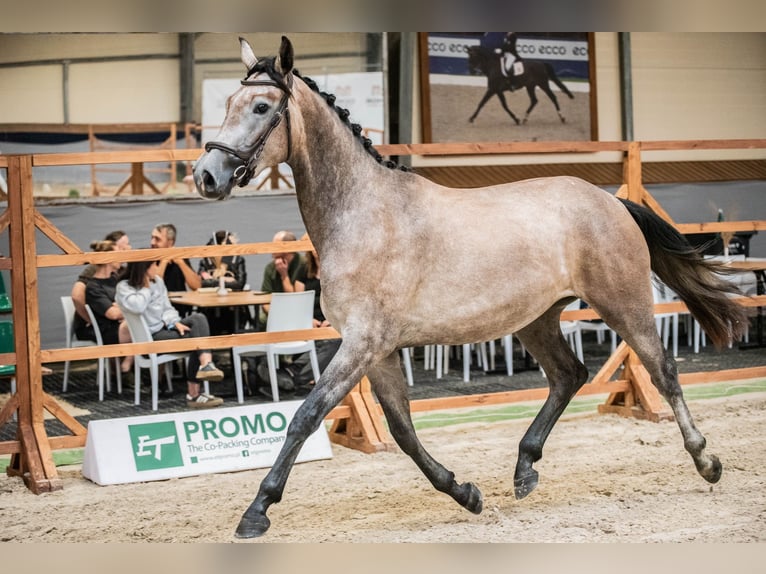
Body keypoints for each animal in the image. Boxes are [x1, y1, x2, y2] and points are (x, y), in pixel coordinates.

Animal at [194, 36, 747, 539]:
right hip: (537, 320)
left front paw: (257, 512)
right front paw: (466, 493)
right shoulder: (378, 350)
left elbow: (306, 416)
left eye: (262, 106)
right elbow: (402, 430)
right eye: (228, 103)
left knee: (663, 371)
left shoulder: (362, 343)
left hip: (623, 304)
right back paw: (524, 469)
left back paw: (706, 461)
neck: (363, 214)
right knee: (569, 374)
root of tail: (610, 201)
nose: (205, 175)